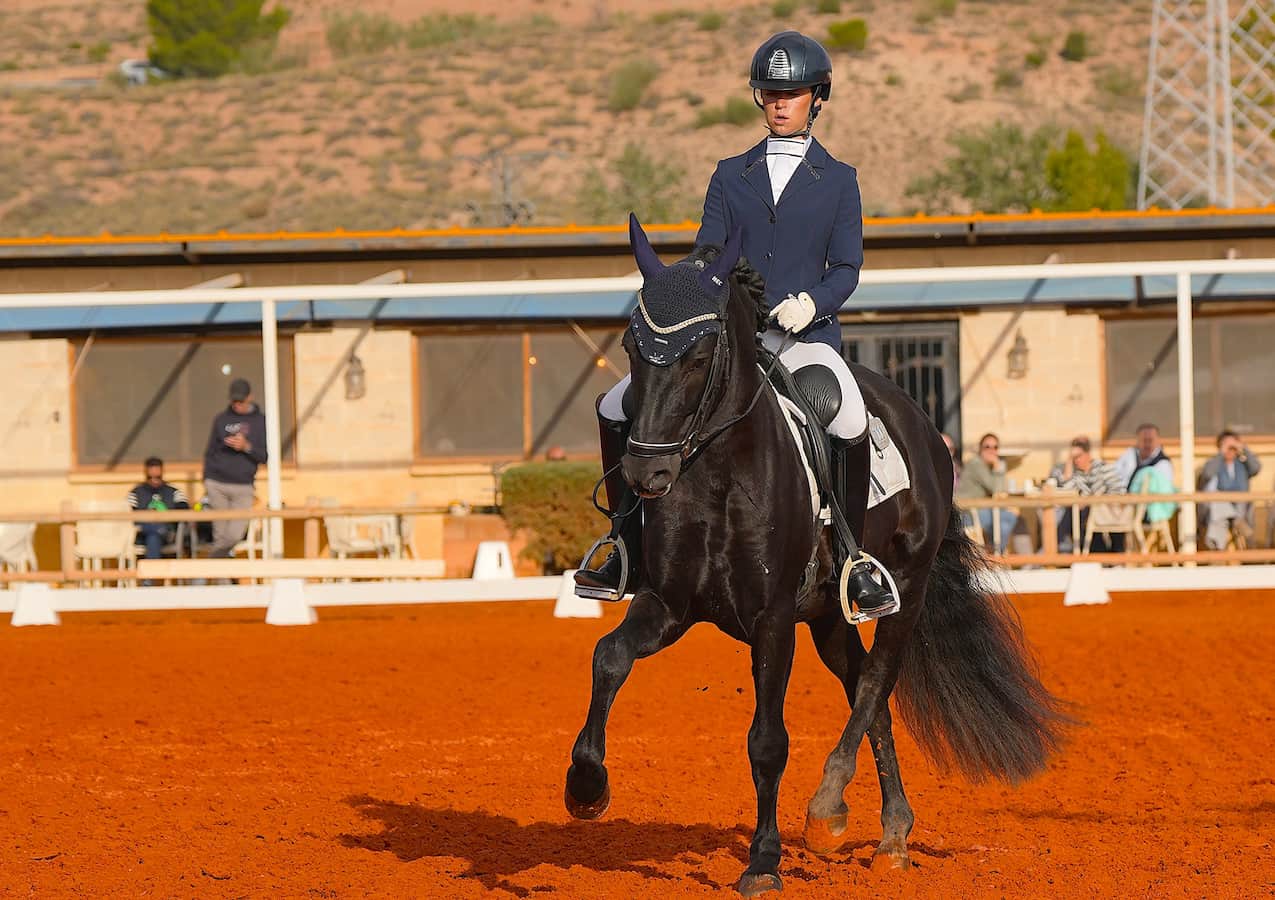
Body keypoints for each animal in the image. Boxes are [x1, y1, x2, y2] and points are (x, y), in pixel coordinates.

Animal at [564, 216, 1070, 896]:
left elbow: (767, 741)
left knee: (877, 683)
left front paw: (763, 861)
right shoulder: (668, 605)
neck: (716, 474)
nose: (647, 475)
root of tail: (920, 424)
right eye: (630, 348)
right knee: (866, 696)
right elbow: (609, 657)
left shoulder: (773, 620)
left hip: (903, 591)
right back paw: (891, 836)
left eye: (698, 356)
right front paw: (586, 786)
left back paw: (829, 808)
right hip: (830, 615)